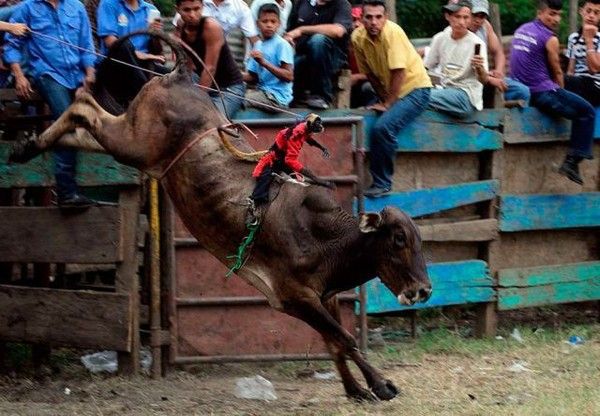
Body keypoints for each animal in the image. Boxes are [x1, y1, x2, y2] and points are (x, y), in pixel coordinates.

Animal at [9, 30, 432, 402]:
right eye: (398, 240)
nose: (424, 290)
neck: (324, 236)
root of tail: (180, 74)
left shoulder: (323, 297)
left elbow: (334, 342)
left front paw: (356, 389)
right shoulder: (294, 296)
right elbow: (343, 339)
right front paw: (381, 385)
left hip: (133, 143)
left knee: (83, 127)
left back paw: (27, 146)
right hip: (135, 142)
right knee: (84, 106)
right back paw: (34, 139)